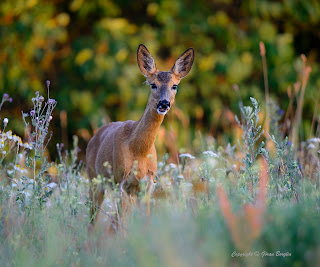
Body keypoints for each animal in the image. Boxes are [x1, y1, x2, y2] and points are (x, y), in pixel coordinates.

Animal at [86, 44, 194, 226]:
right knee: (94, 220)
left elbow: (145, 220)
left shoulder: (148, 185)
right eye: (153, 84)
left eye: (174, 86)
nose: (164, 103)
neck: (139, 150)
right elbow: (122, 224)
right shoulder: (122, 182)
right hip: (94, 179)